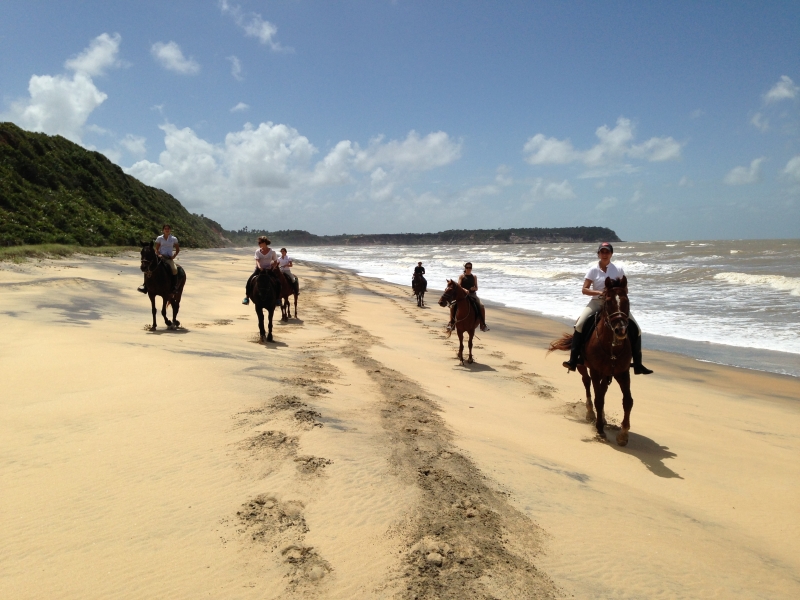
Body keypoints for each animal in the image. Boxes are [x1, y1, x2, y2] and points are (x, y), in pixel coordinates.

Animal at [548, 276, 636, 446]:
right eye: (608, 301)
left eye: (627, 300)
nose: (621, 330)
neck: (611, 346)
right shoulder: (596, 371)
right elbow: (598, 399)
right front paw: (600, 430)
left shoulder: (622, 372)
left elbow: (627, 401)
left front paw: (623, 435)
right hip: (582, 366)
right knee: (587, 383)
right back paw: (590, 414)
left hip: (607, 374)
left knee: (602, 389)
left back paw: (602, 417)